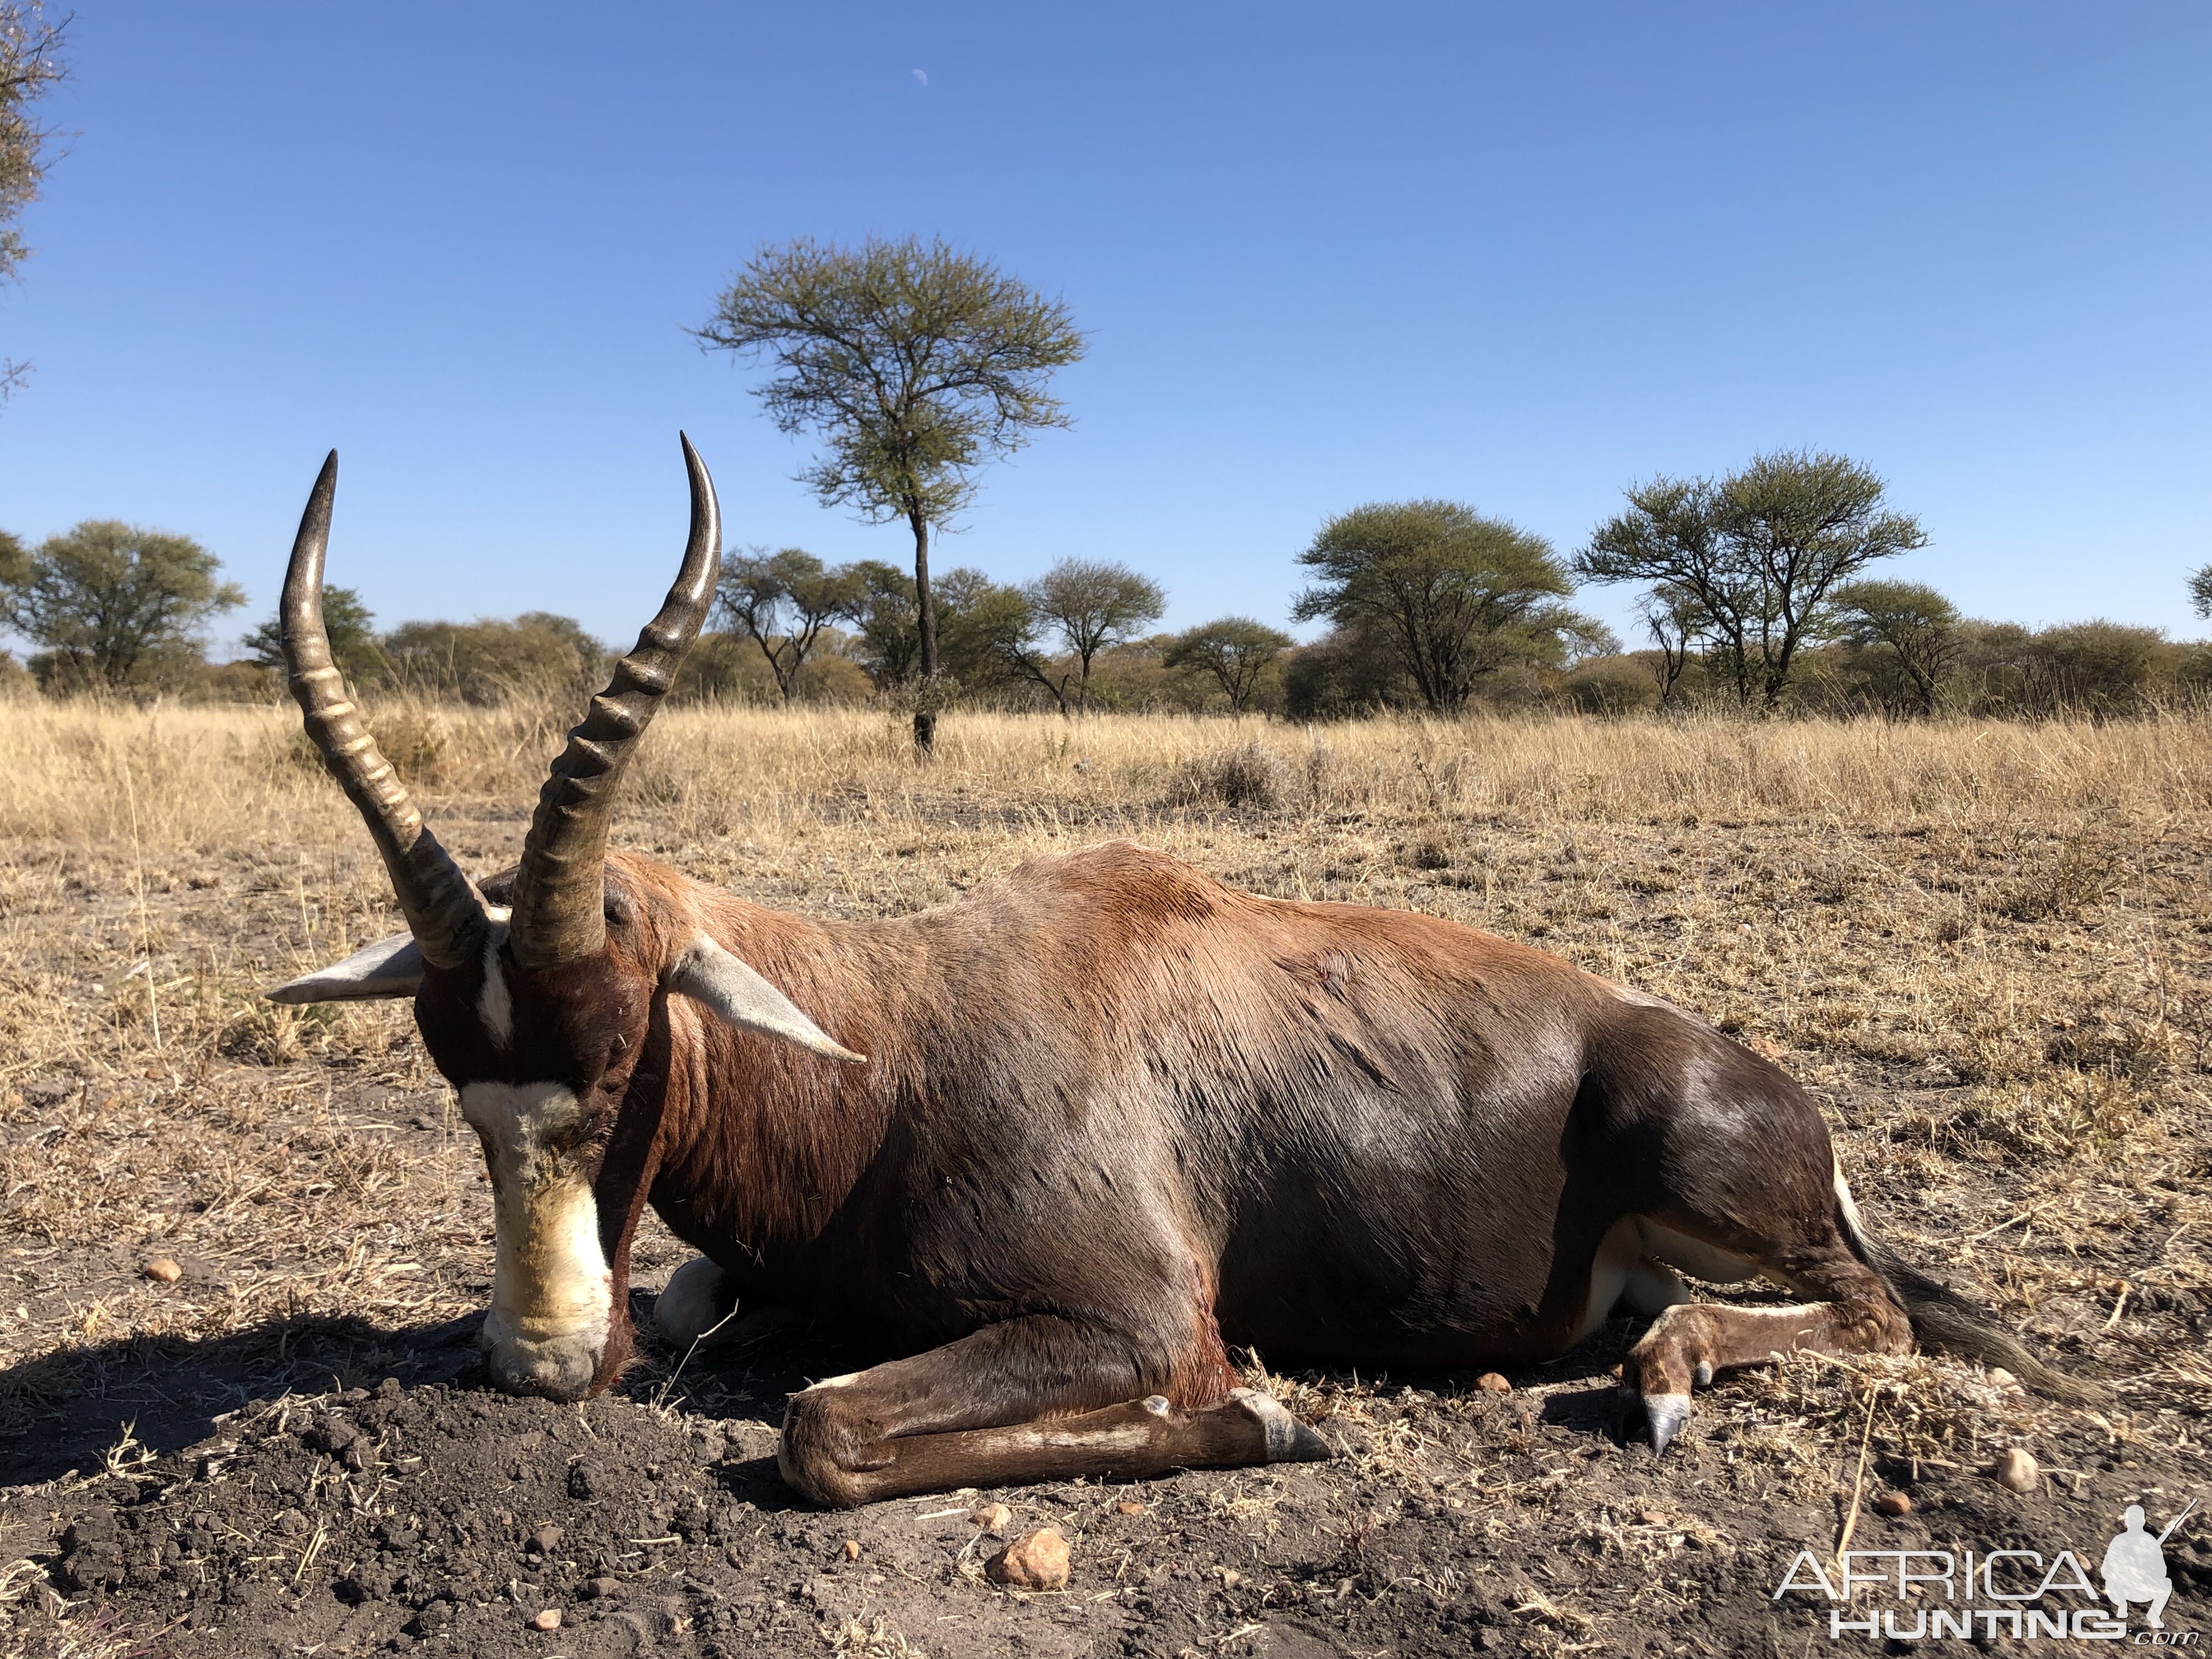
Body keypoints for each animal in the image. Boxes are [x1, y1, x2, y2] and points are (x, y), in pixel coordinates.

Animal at [267, 438, 2079, 1504]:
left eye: (620, 1044)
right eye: (455, 1075)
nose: (537, 1362)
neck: (898, 1043)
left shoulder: (1133, 1317)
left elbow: (826, 1426)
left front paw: (1274, 1418)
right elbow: (710, 1304)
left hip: (1721, 1186)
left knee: (1869, 1311)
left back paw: (1673, 1384)